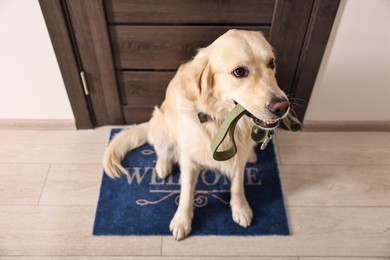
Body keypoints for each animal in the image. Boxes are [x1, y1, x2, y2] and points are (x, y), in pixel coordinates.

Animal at [103, 29, 290, 241]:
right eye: (239, 72)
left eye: (271, 63)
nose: (282, 107)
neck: (221, 122)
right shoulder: (189, 159)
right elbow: (186, 193)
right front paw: (182, 220)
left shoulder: (237, 159)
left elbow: (237, 185)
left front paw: (240, 209)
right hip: (161, 124)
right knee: (162, 151)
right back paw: (162, 166)